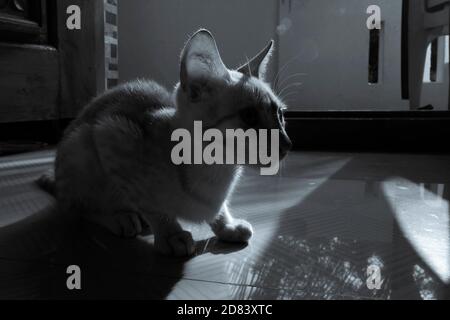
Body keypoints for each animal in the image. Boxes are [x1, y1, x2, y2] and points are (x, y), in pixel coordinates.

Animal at [38, 28, 292, 256]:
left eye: (280, 115)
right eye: (249, 116)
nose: (288, 144)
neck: (218, 172)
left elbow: (219, 209)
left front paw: (226, 225)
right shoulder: (111, 134)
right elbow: (150, 204)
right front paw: (171, 233)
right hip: (82, 146)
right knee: (76, 205)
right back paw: (122, 217)